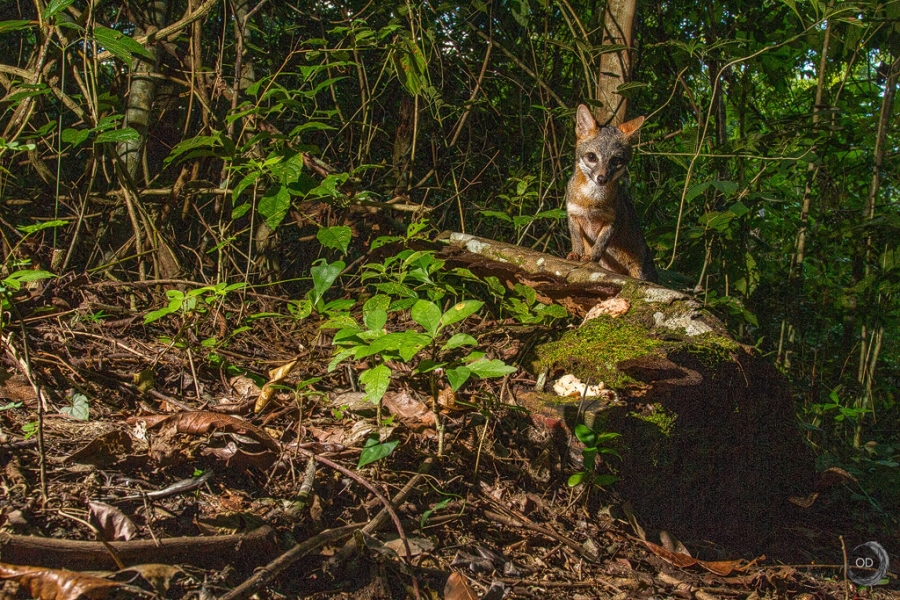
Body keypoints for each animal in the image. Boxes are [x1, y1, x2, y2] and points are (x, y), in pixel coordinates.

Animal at [565, 104, 658, 283]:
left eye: (616, 161)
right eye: (591, 157)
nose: (602, 178)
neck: (591, 200)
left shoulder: (612, 221)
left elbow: (600, 244)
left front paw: (591, 257)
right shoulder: (573, 214)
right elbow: (577, 239)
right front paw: (576, 253)